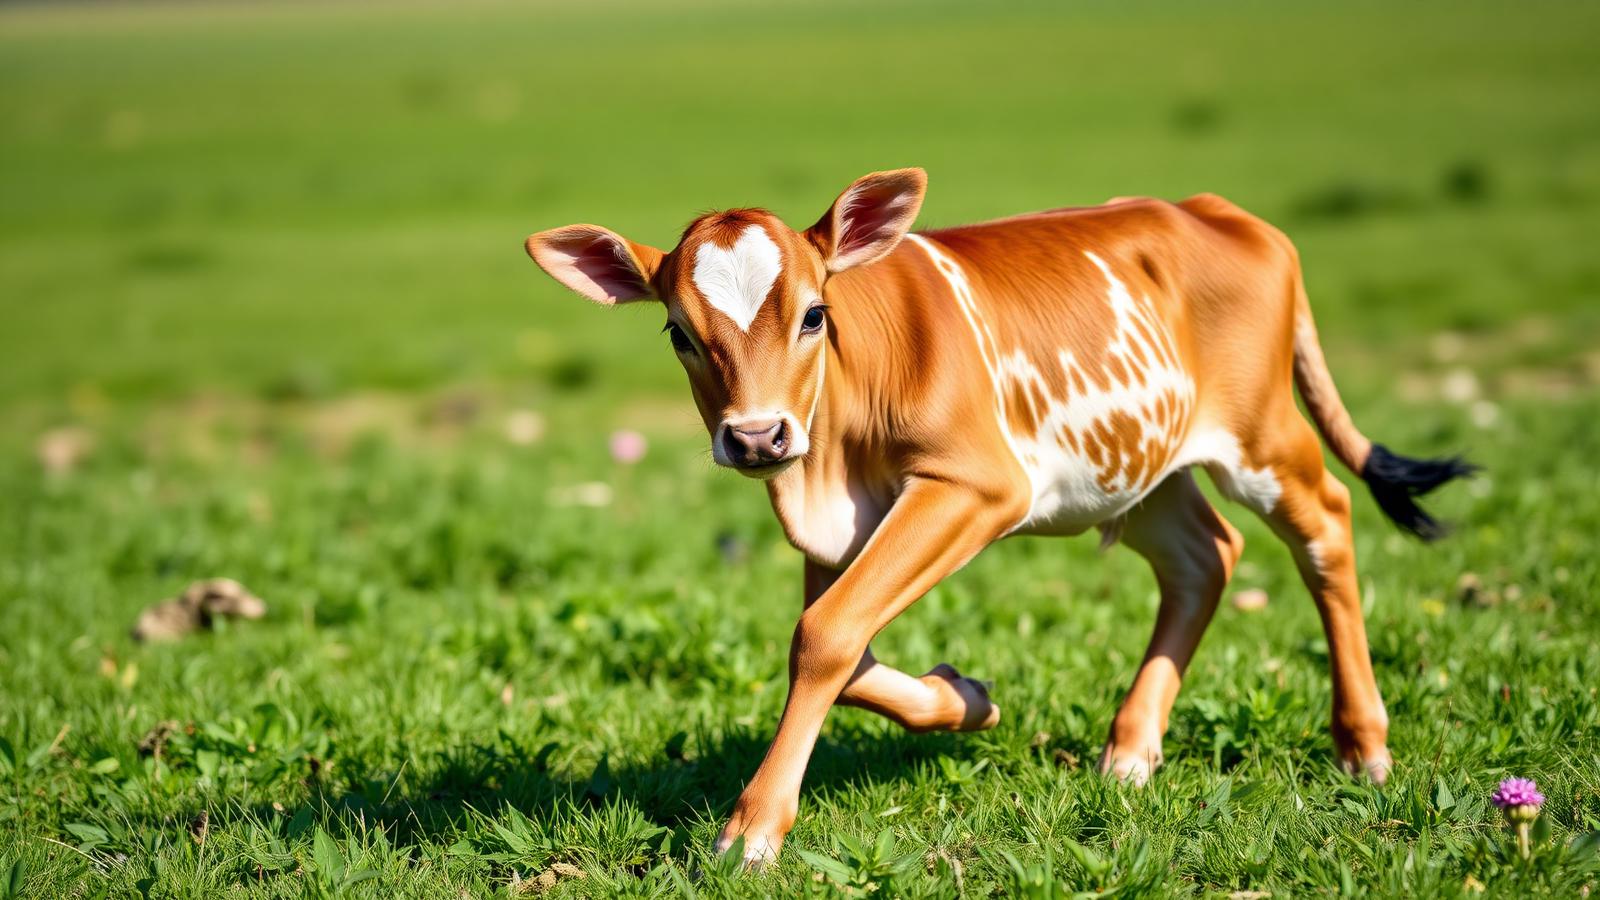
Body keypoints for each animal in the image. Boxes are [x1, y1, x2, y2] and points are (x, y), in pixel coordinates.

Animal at [524, 169, 1472, 866]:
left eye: (814, 314)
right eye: (679, 334)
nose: (758, 435)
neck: (834, 450)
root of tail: (1215, 210)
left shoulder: (976, 484)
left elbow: (824, 637)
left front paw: (751, 830)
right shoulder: (834, 527)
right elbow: (843, 647)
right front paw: (966, 699)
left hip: (1262, 435)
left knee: (1327, 526)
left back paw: (1362, 743)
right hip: (1136, 463)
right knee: (1204, 557)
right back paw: (1132, 750)